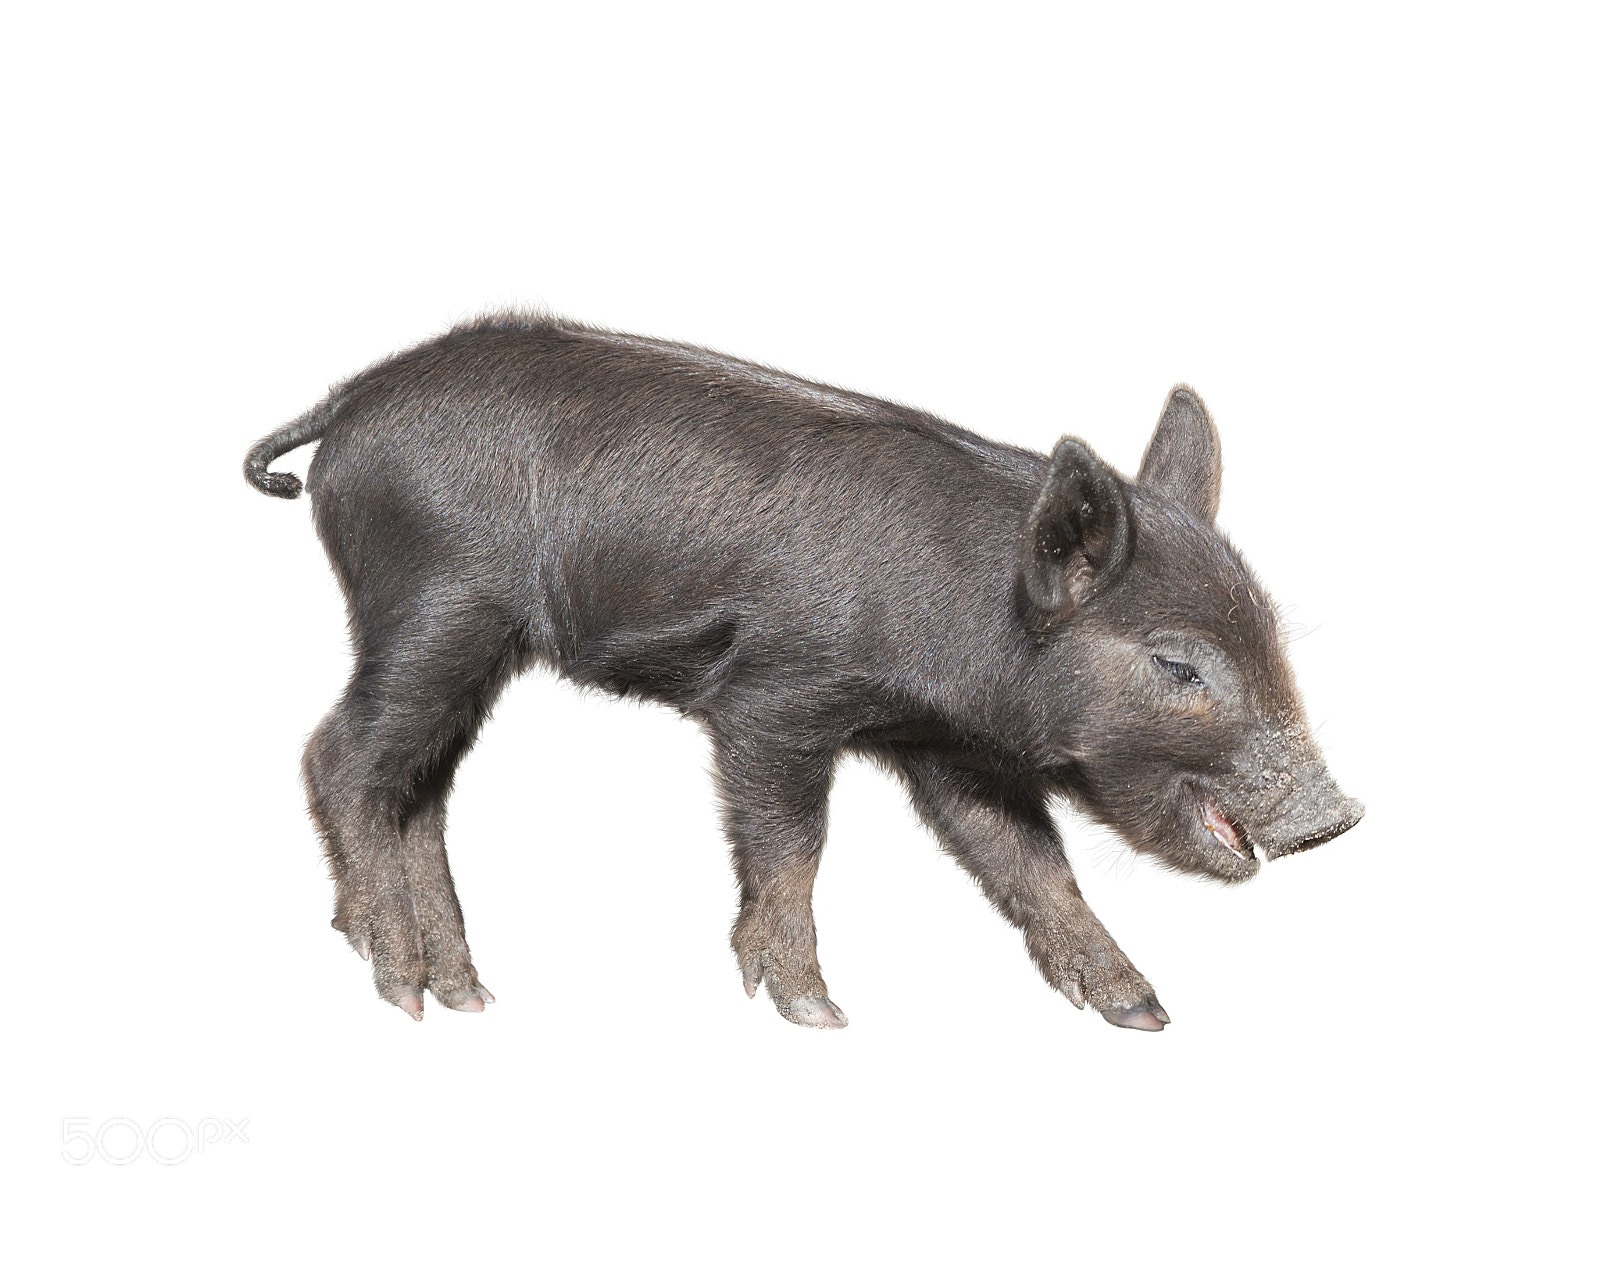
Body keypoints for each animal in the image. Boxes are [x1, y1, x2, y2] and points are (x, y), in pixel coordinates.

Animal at [245, 313, 1363, 1031]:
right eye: (1177, 663)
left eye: (1268, 631)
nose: (1336, 813)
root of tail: (352, 399)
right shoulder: (774, 698)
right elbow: (793, 845)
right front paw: (818, 1014)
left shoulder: (947, 749)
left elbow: (1031, 867)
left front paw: (1144, 1013)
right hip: (433, 604)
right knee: (338, 755)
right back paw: (398, 986)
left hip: (476, 643)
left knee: (420, 789)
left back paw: (468, 995)